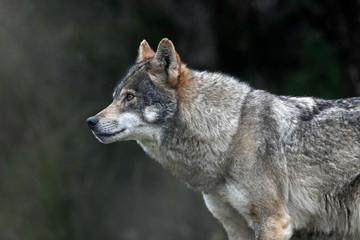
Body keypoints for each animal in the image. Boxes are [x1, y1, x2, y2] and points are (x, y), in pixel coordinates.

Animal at [86, 38, 360, 239]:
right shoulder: (235, 227)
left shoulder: (273, 221)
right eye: (114, 97)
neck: (231, 134)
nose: (91, 122)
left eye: (129, 97)